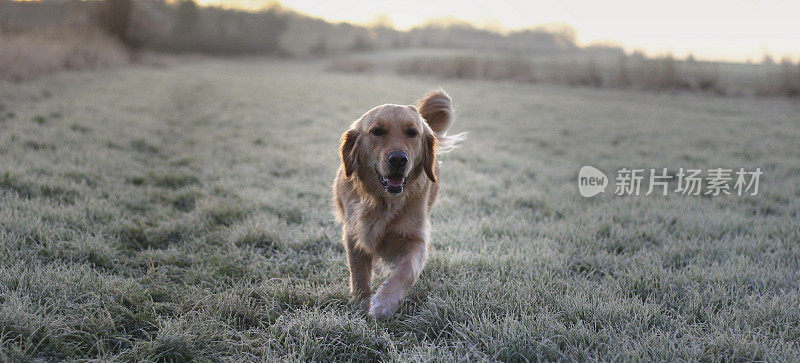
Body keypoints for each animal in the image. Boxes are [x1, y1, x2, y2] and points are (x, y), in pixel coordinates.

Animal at [332, 91, 466, 322]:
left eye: (412, 133)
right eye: (377, 131)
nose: (398, 159)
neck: (383, 201)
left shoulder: (416, 238)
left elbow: (406, 271)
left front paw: (384, 302)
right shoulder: (354, 233)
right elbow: (358, 273)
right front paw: (361, 302)